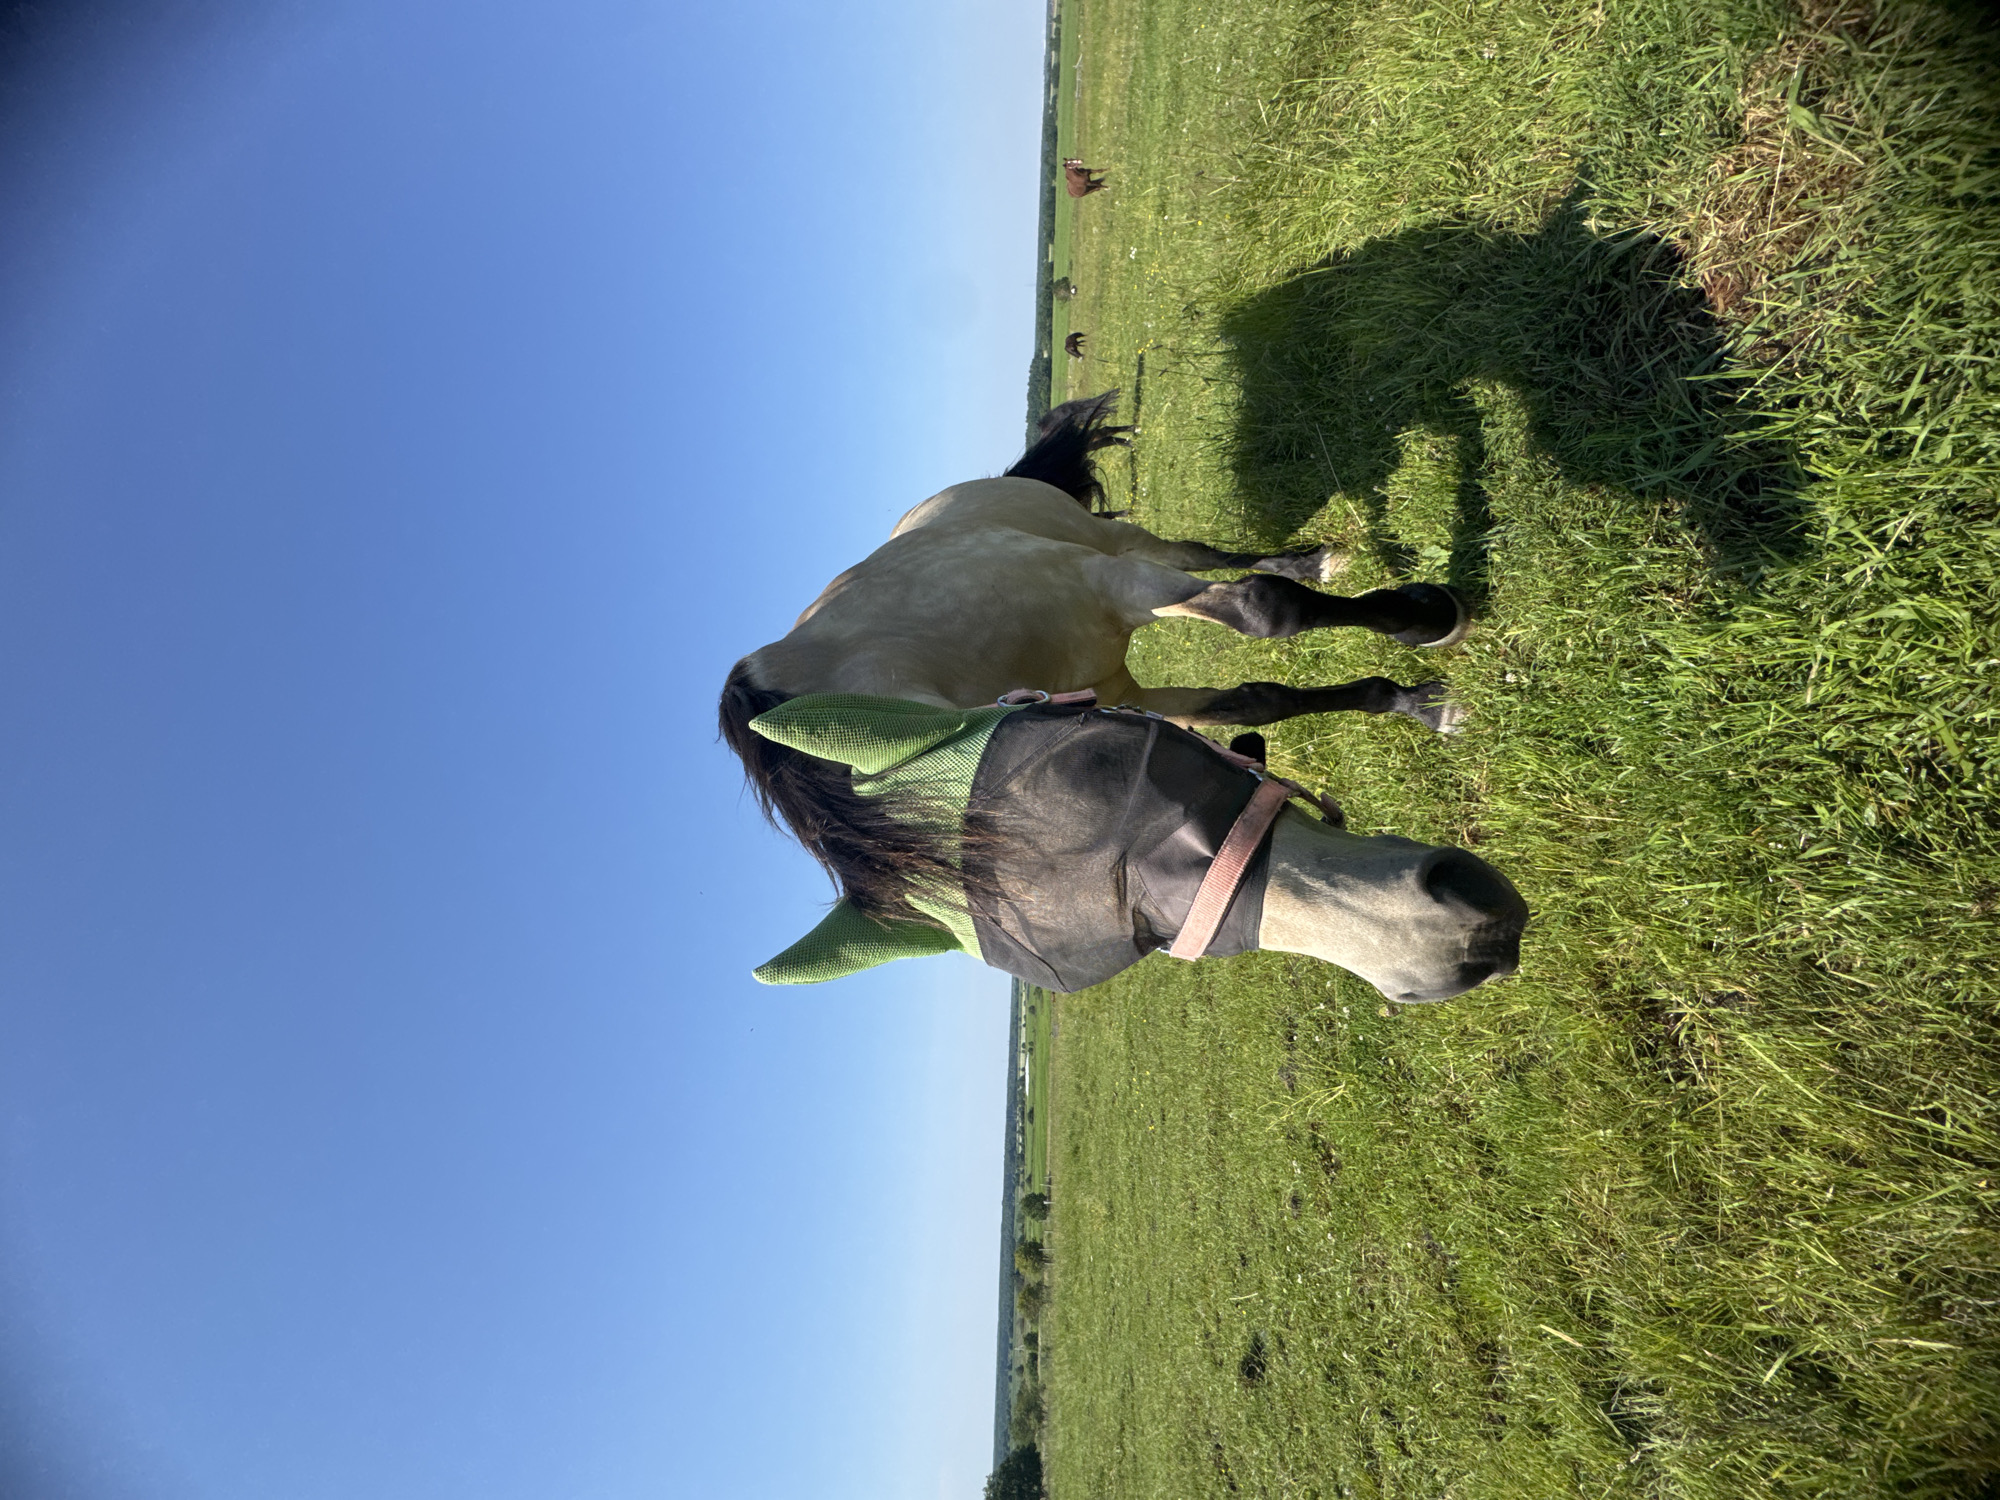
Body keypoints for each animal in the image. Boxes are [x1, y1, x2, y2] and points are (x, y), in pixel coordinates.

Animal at [720, 392, 1527, 1000]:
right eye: (1130, 941)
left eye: (1101, 769)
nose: (1458, 947)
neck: (900, 647)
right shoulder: (1127, 692)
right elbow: (1254, 701)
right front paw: (1416, 703)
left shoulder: (1116, 585)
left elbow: (1266, 609)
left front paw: (1425, 622)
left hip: (1118, 547)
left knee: (1207, 556)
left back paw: (1312, 561)